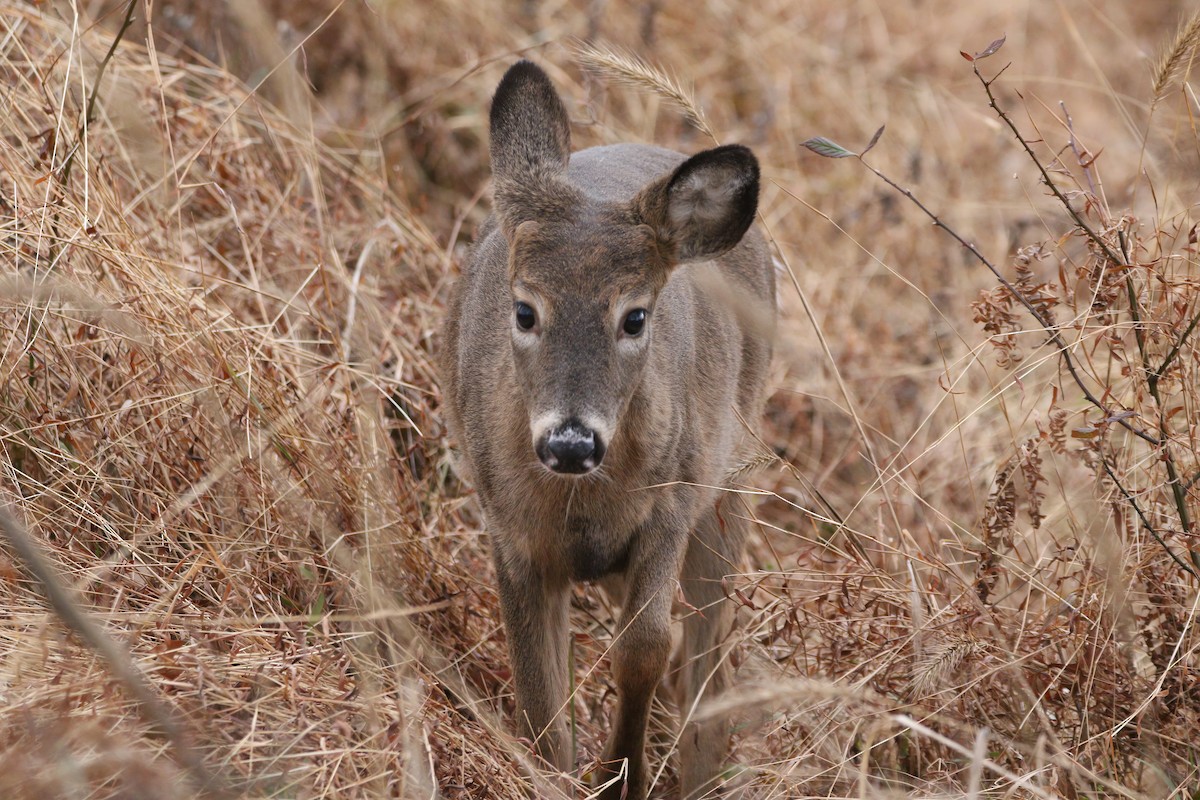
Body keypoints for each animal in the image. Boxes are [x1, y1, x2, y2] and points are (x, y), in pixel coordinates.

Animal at [440, 60, 775, 800]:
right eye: (525, 309)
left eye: (635, 317)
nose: (571, 441)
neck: (580, 505)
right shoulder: (509, 530)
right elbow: (538, 690)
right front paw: (557, 774)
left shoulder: (672, 504)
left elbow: (647, 644)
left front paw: (623, 776)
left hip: (732, 476)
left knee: (710, 641)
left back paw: (704, 764)